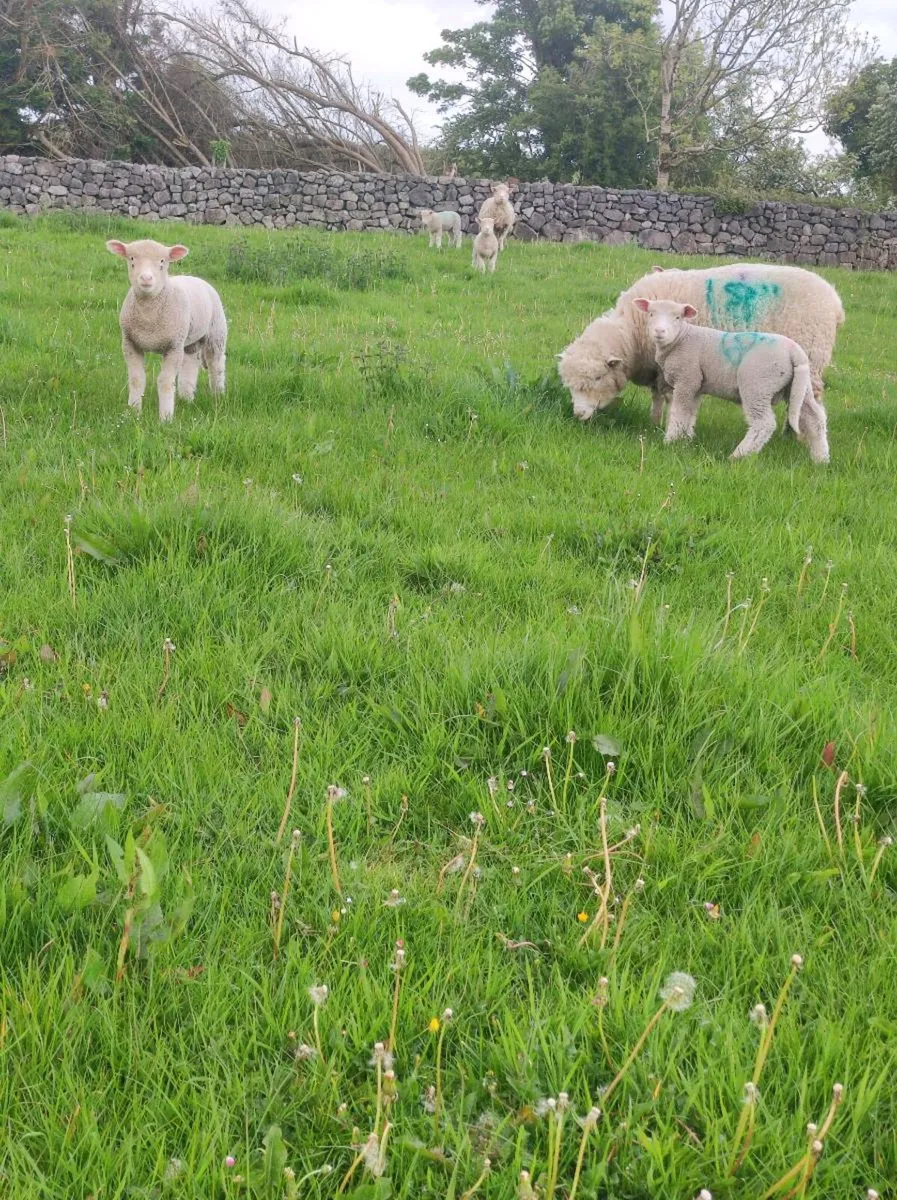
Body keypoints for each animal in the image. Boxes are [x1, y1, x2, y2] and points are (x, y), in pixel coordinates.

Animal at [106, 238, 227, 422]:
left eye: (162, 261)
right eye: (132, 259)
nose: (146, 278)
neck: (148, 318)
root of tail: (193, 277)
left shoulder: (173, 346)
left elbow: (165, 382)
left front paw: (166, 418)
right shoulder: (130, 343)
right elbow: (136, 379)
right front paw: (134, 412)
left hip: (216, 331)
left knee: (216, 363)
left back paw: (217, 395)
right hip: (188, 340)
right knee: (191, 363)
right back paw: (186, 396)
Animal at [557, 262, 845, 426]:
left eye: (597, 378)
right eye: (569, 385)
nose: (578, 415)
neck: (633, 330)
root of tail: (835, 301)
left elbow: (670, 397)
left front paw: (666, 425)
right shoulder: (656, 368)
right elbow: (656, 396)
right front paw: (653, 422)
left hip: (811, 356)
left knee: (810, 402)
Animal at [633, 297, 829, 463]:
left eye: (677, 317)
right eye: (651, 314)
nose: (659, 331)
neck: (681, 338)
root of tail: (793, 350)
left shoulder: (686, 379)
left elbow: (679, 412)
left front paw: (670, 441)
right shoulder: (696, 384)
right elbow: (690, 413)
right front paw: (686, 439)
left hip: (757, 385)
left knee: (764, 424)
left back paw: (739, 455)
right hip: (799, 387)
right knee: (815, 419)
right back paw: (821, 459)